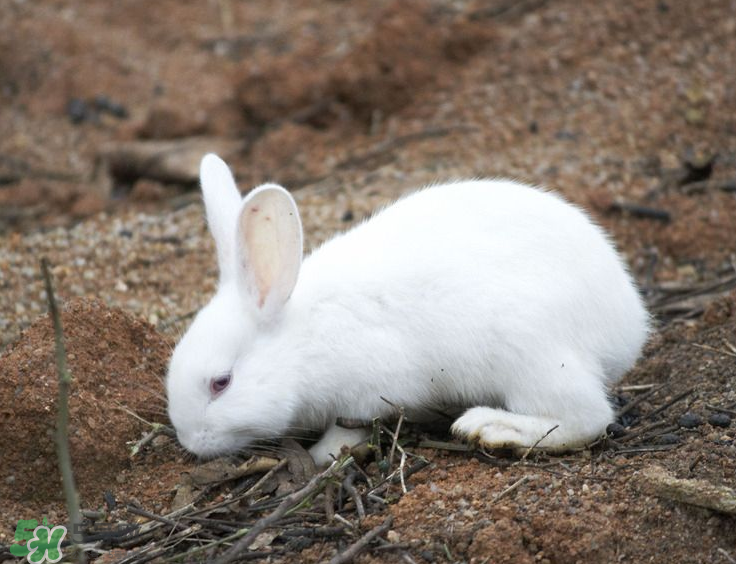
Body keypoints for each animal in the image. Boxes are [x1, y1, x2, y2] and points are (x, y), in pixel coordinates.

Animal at [164, 153, 648, 462]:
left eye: (221, 383)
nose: (190, 442)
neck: (302, 339)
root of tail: (629, 324)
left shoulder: (366, 392)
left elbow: (351, 427)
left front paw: (321, 454)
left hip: (533, 356)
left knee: (587, 419)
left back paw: (491, 428)